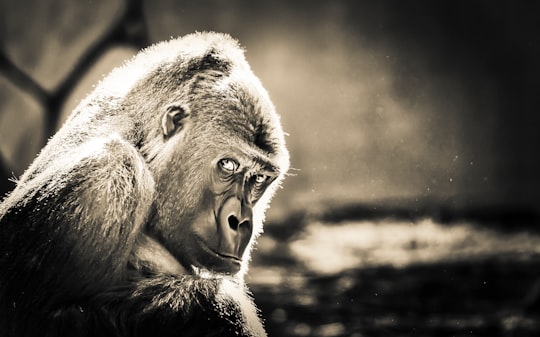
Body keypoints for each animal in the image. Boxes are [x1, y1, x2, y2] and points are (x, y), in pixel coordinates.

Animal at [0, 32, 288, 336]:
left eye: (259, 179)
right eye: (228, 165)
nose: (240, 221)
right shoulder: (108, 173)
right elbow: (34, 317)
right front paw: (217, 308)